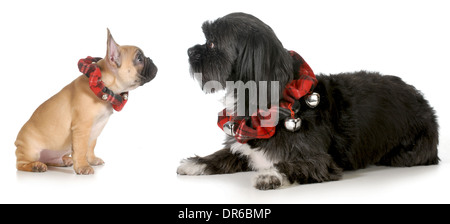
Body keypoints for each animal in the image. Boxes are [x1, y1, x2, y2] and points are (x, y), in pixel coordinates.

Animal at [14, 28, 158, 174]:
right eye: (139, 58)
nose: (151, 59)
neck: (102, 86)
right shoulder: (82, 127)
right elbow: (81, 148)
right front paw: (83, 167)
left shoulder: (97, 127)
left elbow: (91, 145)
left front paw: (92, 160)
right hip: (31, 151)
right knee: (21, 164)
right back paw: (35, 166)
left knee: (51, 160)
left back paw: (65, 160)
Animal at [177, 12, 440, 190]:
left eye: (212, 43)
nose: (189, 51)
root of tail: (424, 101)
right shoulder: (241, 145)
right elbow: (223, 154)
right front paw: (196, 162)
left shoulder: (319, 161)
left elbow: (292, 166)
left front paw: (269, 175)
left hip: (410, 151)